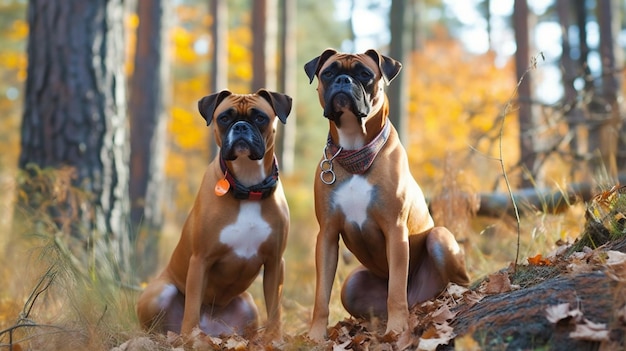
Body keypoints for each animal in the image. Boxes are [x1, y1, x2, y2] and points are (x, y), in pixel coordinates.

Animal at [136, 89, 290, 342]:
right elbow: (191, 307)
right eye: (224, 118)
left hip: (248, 306)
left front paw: (274, 339)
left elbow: (275, 308)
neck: (248, 187)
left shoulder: (275, 262)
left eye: (260, 118)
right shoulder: (201, 260)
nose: (241, 126)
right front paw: (191, 339)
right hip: (160, 292)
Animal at [302, 49, 468, 340]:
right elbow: (321, 296)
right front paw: (315, 336)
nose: (344, 80)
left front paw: (397, 329)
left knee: (458, 281)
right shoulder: (328, 235)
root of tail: (419, 300)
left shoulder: (395, 229)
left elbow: (396, 290)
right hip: (352, 284)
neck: (354, 151)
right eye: (329, 73)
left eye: (365, 74)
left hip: (440, 238)